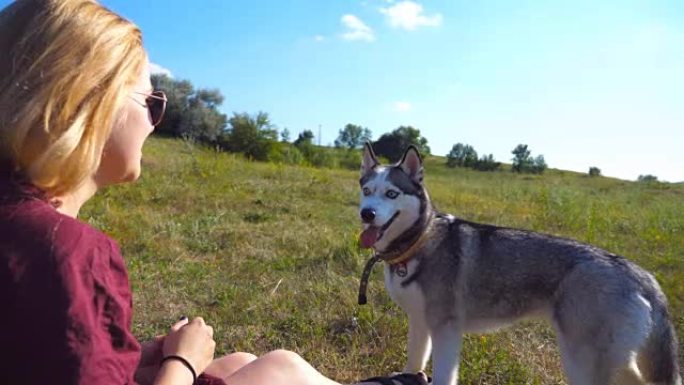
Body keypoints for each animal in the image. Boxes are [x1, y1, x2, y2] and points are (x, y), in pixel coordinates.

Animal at [358, 143, 680, 384]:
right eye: (366, 190)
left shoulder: (445, 329)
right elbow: (414, 361)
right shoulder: (420, 322)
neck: (419, 240)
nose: (367, 214)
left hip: (584, 358)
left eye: (391, 193)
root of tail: (642, 275)